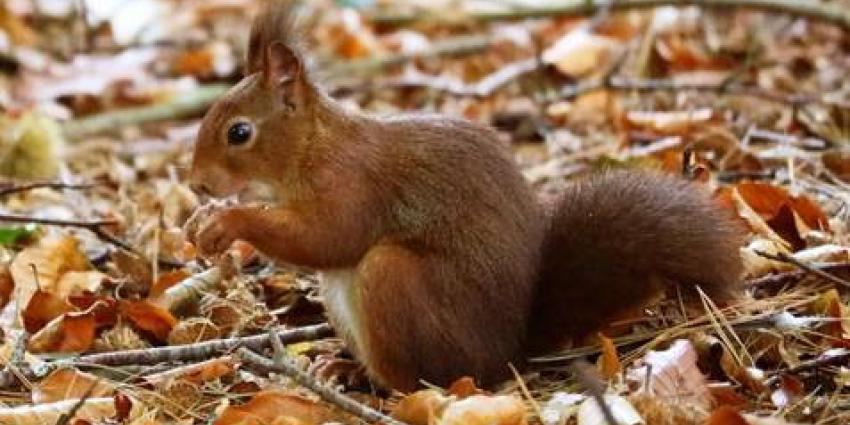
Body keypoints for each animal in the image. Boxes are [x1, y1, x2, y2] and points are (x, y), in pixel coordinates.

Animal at [187, 0, 744, 390]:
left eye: (239, 133)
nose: (197, 183)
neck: (314, 147)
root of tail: (507, 354)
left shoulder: (353, 183)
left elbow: (329, 238)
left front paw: (228, 222)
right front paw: (205, 220)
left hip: (393, 280)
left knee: (421, 377)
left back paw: (375, 383)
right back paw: (342, 367)